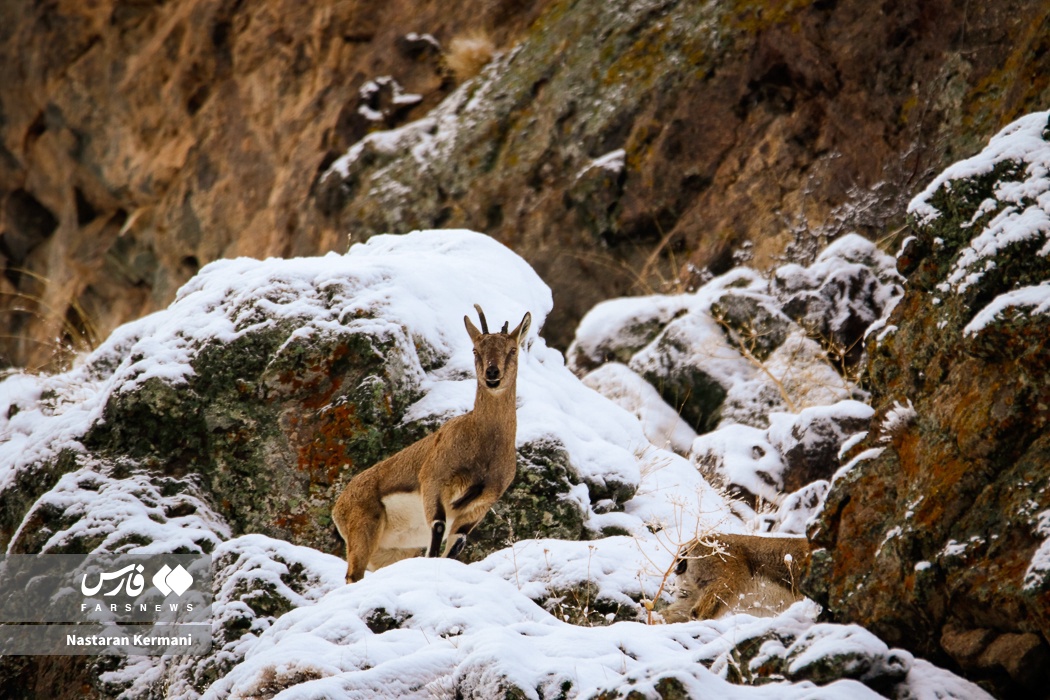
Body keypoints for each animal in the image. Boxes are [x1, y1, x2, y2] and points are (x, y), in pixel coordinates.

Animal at [331, 304, 529, 583]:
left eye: (512, 349)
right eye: (475, 350)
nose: (492, 374)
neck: (483, 444)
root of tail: (339, 506)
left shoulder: (479, 506)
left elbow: (455, 546)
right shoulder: (434, 482)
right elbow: (437, 531)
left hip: (392, 551)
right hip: (363, 530)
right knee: (353, 575)